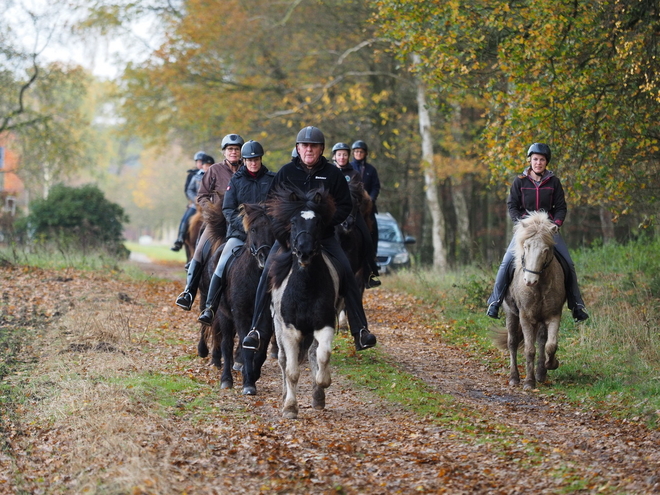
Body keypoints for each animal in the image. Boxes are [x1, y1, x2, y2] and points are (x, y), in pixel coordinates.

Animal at [266, 188, 340, 420]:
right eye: (293, 221)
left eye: (318, 222)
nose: (304, 251)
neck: (306, 288)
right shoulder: (289, 330)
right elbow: (291, 371)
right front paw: (290, 407)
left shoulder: (324, 325)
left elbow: (322, 356)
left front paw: (321, 385)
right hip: (278, 328)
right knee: (283, 360)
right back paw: (284, 395)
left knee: (312, 353)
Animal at [492, 211, 564, 394]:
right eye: (526, 247)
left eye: (545, 250)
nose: (529, 281)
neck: (540, 286)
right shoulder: (526, 318)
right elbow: (529, 350)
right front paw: (529, 382)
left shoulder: (554, 315)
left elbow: (551, 345)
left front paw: (551, 364)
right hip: (511, 314)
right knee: (512, 343)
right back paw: (514, 378)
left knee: (542, 341)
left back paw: (541, 373)